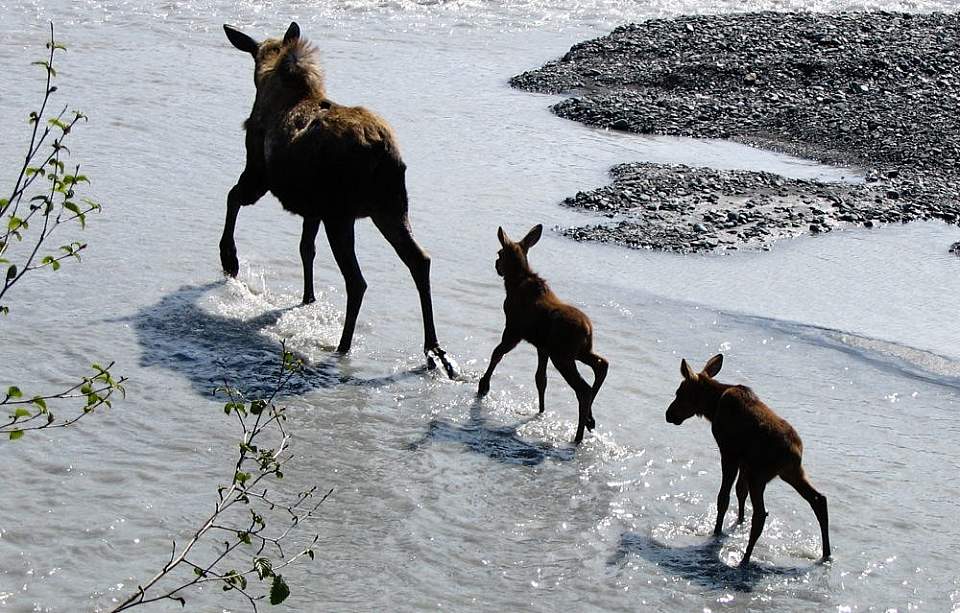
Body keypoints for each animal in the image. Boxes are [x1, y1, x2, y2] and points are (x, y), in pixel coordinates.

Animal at [221, 22, 458, 372]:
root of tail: (382, 151)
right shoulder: (311, 209)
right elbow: (306, 249)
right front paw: (308, 297)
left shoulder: (259, 174)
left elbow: (232, 198)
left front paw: (230, 259)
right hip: (390, 208)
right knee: (420, 260)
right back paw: (433, 349)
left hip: (343, 215)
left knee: (357, 281)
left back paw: (343, 346)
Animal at [478, 222, 608, 442]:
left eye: (499, 253)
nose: (496, 265)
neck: (513, 284)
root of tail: (588, 329)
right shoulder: (542, 347)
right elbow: (541, 379)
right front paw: (541, 410)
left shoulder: (514, 330)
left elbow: (497, 353)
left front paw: (483, 385)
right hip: (580, 352)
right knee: (602, 365)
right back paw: (590, 421)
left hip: (563, 356)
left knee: (583, 389)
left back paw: (578, 436)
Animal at [664, 356, 828, 568]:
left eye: (680, 393)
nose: (669, 414)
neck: (712, 407)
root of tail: (794, 453)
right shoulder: (744, 462)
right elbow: (740, 492)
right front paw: (739, 520)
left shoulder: (729, 453)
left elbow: (723, 498)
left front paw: (717, 531)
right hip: (791, 473)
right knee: (819, 500)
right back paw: (826, 553)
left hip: (760, 476)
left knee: (760, 514)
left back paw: (745, 557)